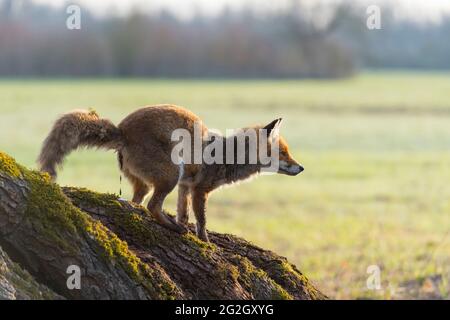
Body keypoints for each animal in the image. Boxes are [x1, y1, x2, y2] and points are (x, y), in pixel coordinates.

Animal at [38, 104, 304, 241]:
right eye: (283, 153)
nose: (301, 168)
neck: (225, 155)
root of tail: (123, 131)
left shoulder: (185, 186)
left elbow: (183, 213)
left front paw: (184, 225)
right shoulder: (199, 190)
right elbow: (201, 221)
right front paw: (205, 242)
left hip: (150, 183)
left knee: (136, 202)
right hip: (170, 176)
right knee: (152, 206)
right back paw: (172, 229)